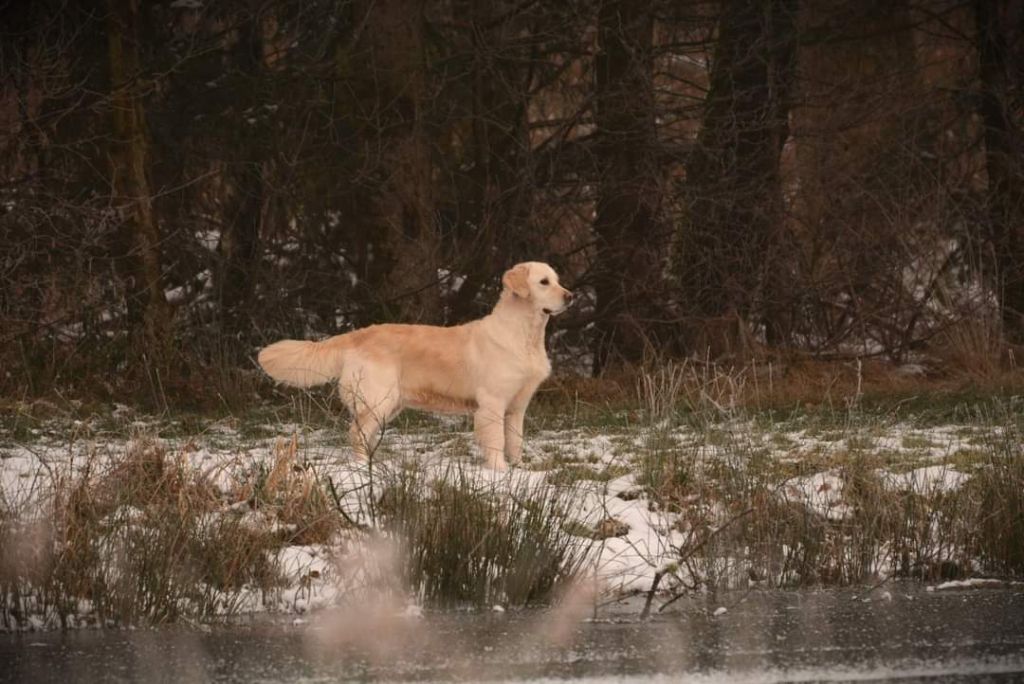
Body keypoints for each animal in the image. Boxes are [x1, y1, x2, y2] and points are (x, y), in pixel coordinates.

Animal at [256, 262, 573, 471]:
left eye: (558, 280)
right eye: (543, 282)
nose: (570, 296)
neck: (525, 335)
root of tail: (358, 334)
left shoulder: (517, 407)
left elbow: (515, 441)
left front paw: (519, 470)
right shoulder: (492, 403)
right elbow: (496, 442)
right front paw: (500, 473)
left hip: (387, 404)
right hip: (378, 400)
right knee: (356, 434)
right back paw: (363, 470)